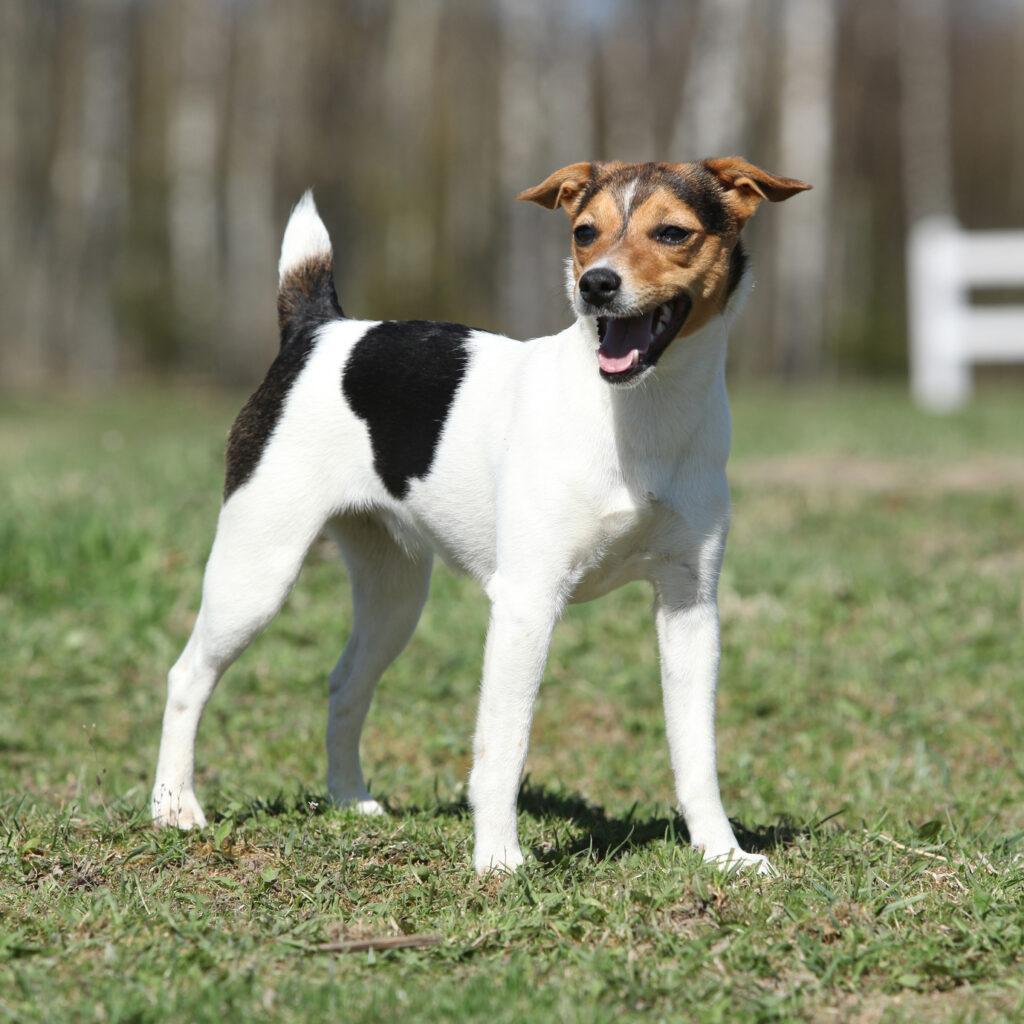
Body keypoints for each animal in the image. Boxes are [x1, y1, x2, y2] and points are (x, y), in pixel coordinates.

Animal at [151, 155, 806, 876]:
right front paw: (498, 861)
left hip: (395, 597)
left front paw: (722, 854)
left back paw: (350, 800)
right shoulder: (527, 604)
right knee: (188, 676)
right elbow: (503, 746)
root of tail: (319, 330)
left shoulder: (690, 608)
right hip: (255, 576)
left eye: (672, 233)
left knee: (345, 683)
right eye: (583, 232)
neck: (641, 412)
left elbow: (697, 752)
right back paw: (174, 807)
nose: (596, 285)